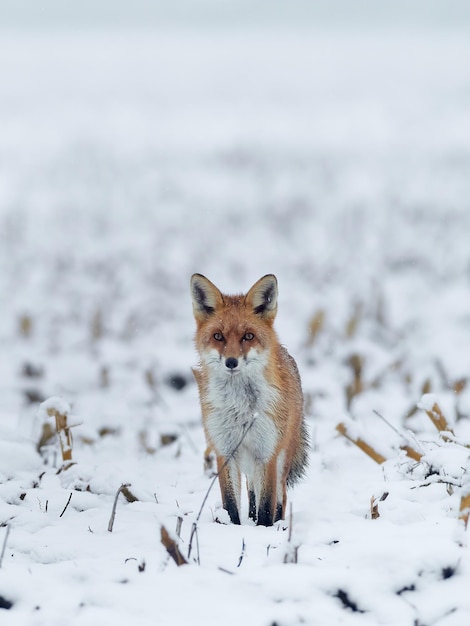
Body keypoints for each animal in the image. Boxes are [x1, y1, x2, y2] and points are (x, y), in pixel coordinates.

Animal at [191, 270, 308, 524]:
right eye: (218, 336)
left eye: (248, 336)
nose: (231, 362)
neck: (240, 408)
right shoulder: (224, 450)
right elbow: (231, 504)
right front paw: (234, 527)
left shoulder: (267, 453)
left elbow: (266, 506)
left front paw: (263, 529)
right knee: (252, 490)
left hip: (281, 457)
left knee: (281, 497)